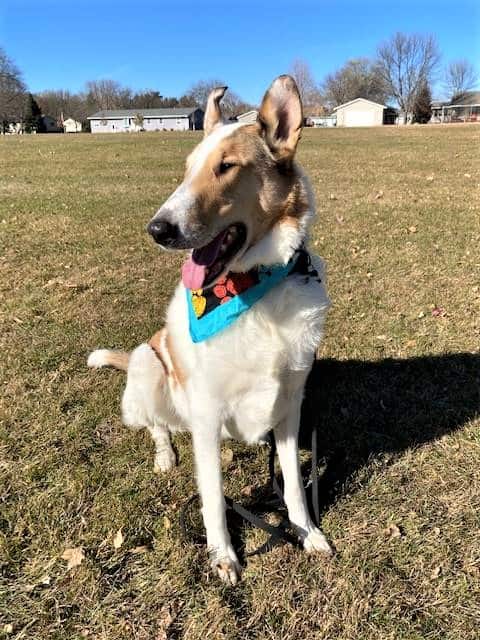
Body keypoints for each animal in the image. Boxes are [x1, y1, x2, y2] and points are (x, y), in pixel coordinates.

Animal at [88, 76, 332, 584]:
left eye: (226, 167)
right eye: (186, 170)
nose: (157, 229)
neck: (253, 289)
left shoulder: (290, 408)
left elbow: (294, 487)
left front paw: (307, 533)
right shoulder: (206, 414)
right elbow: (215, 499)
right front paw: (224, 555)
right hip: (149, 363)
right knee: (157, 426)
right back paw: (165, 455)